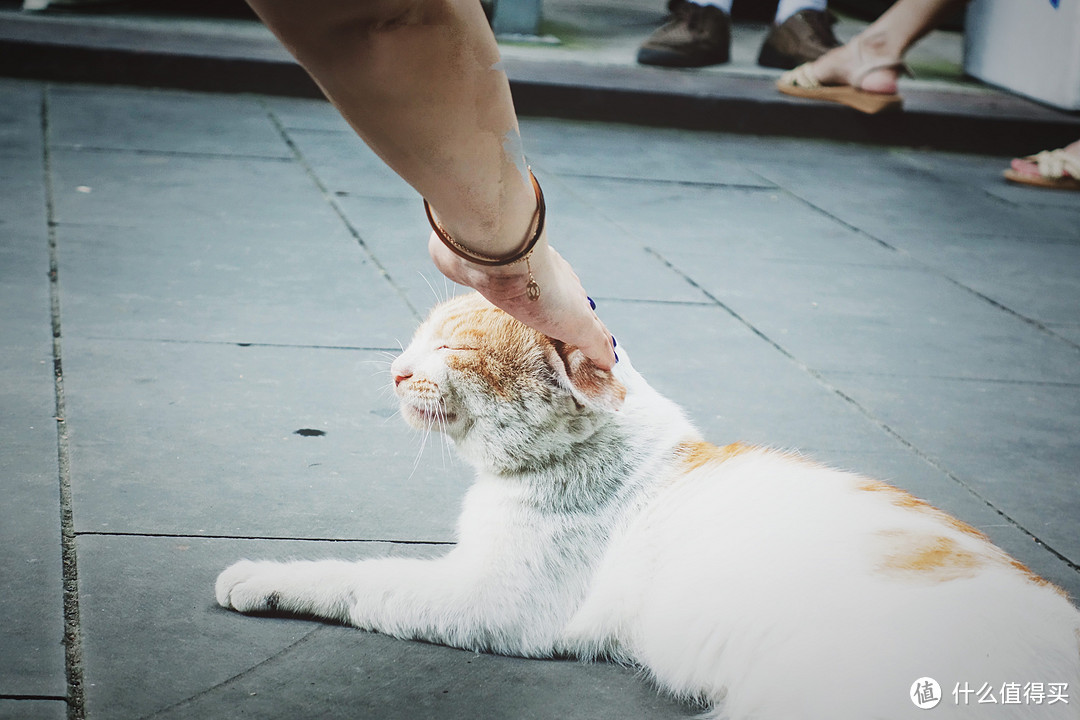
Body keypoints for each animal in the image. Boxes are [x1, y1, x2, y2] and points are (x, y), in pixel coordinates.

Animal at [217, 293, 1080, 720]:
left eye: (453, 350)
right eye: (417, 337)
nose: (396, 370)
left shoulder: (492, 602)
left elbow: (361, 578)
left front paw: (258, 576)